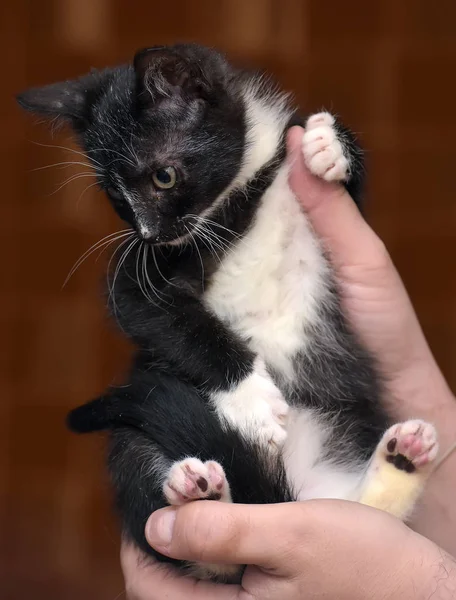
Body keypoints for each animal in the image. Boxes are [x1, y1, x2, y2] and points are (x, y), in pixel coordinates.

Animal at [17, 43, 438, 580]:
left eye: (164, 176)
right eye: (115, 196)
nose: (150, 234)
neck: (239, 195)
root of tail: (296, 495)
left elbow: (347, 191)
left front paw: (329, 143)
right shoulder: (135, 282)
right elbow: (178, 326)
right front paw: (251, 398)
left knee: (361, 515)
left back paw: (402, 459)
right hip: (137, 435)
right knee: (212, 556)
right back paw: (199, 495)